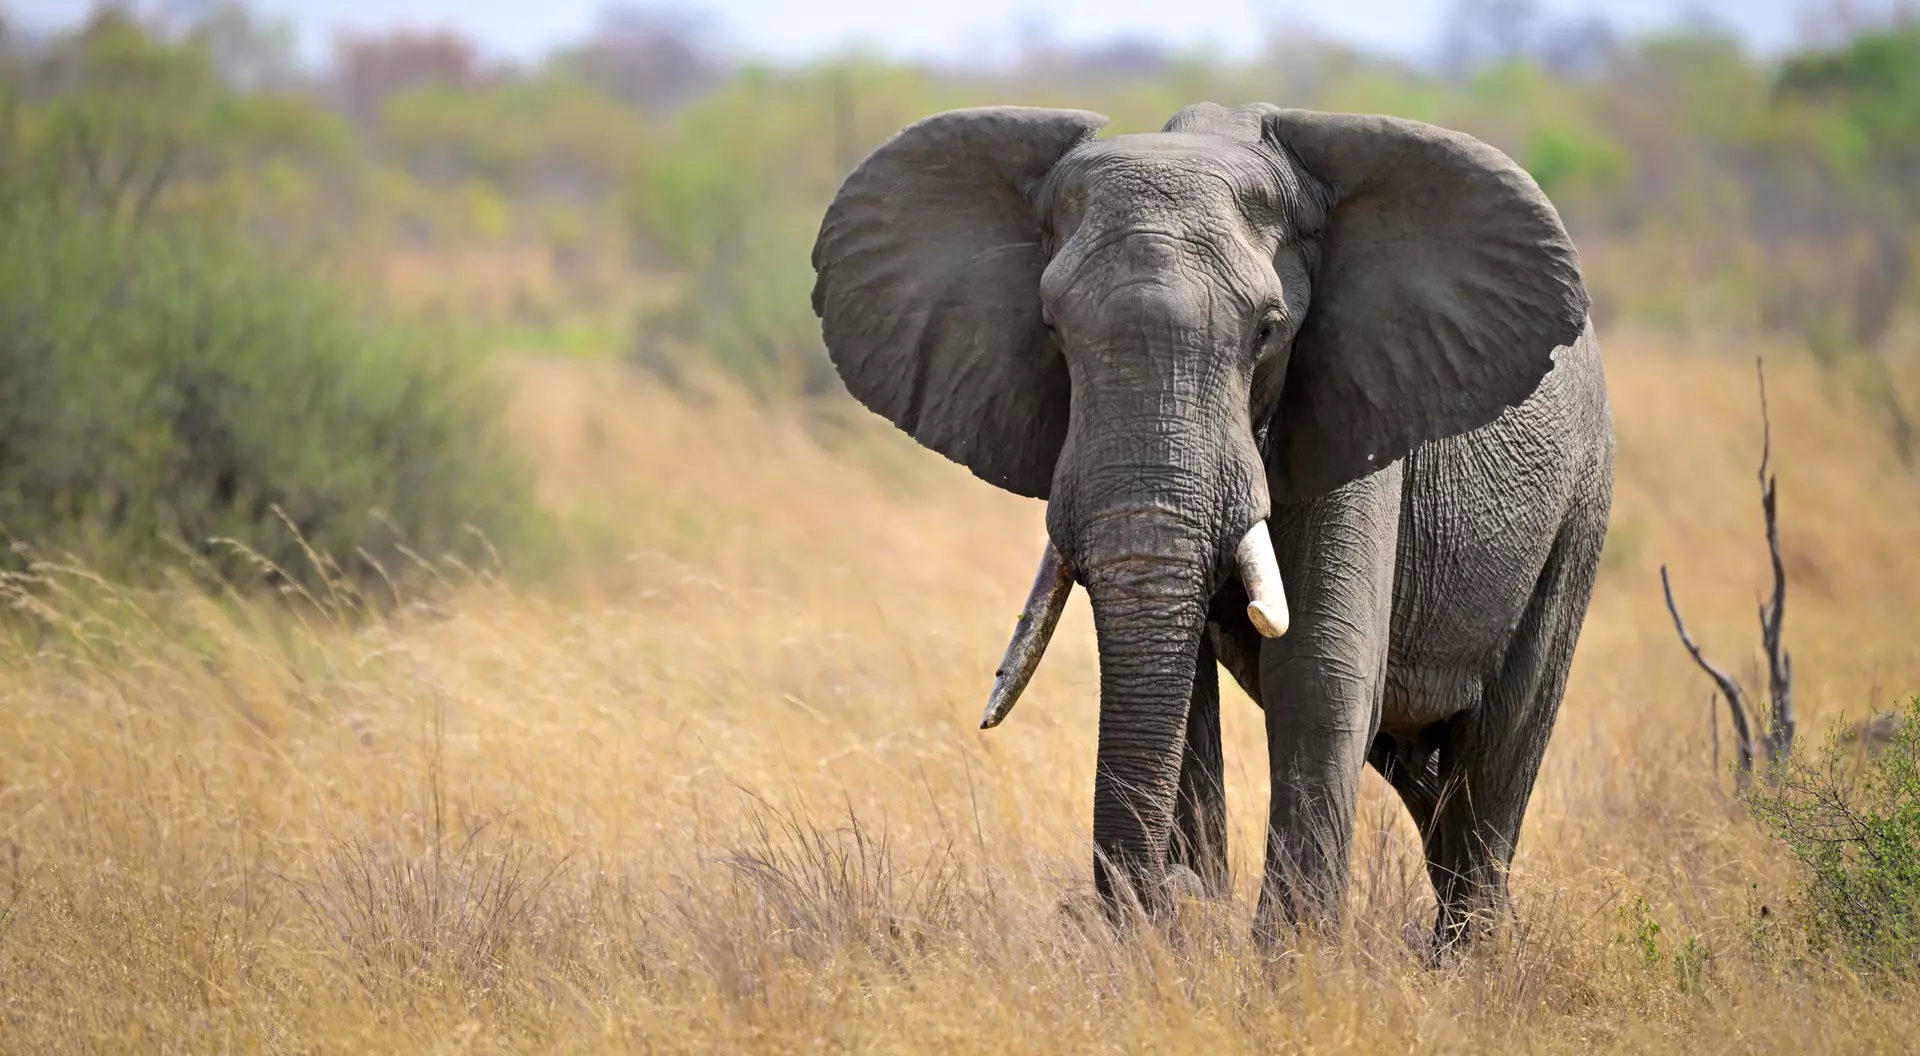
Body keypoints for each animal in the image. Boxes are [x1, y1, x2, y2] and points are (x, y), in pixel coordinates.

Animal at [810, 101, 1614, 946]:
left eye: (1267, 330)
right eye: (1052, 329)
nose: (1173, 895)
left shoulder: (1357, 404)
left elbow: (1320, 673)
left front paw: (1290, 964)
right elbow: (1186, 691)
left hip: (1579, 507)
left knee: (1500, 747)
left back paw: (1469, 960)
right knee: (1425, 777)